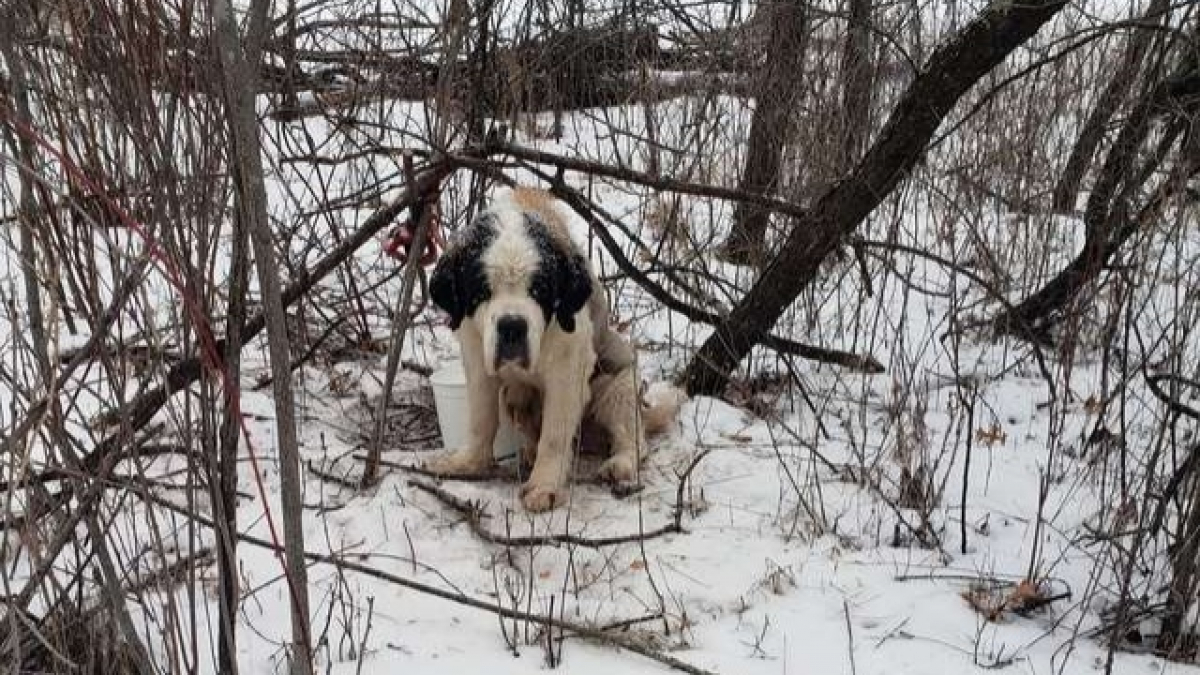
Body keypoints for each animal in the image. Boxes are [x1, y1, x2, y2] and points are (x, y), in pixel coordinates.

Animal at [427, 186, 681, 506]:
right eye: (482, 291)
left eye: (539, 290)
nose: (512, 325)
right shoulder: (476, 353)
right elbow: (481, 418)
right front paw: (469, 463)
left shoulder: (568, 368)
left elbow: (555, 433)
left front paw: (543, 486)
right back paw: (528, 451)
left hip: (619, 384)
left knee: (632, 436)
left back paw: (619, 463)